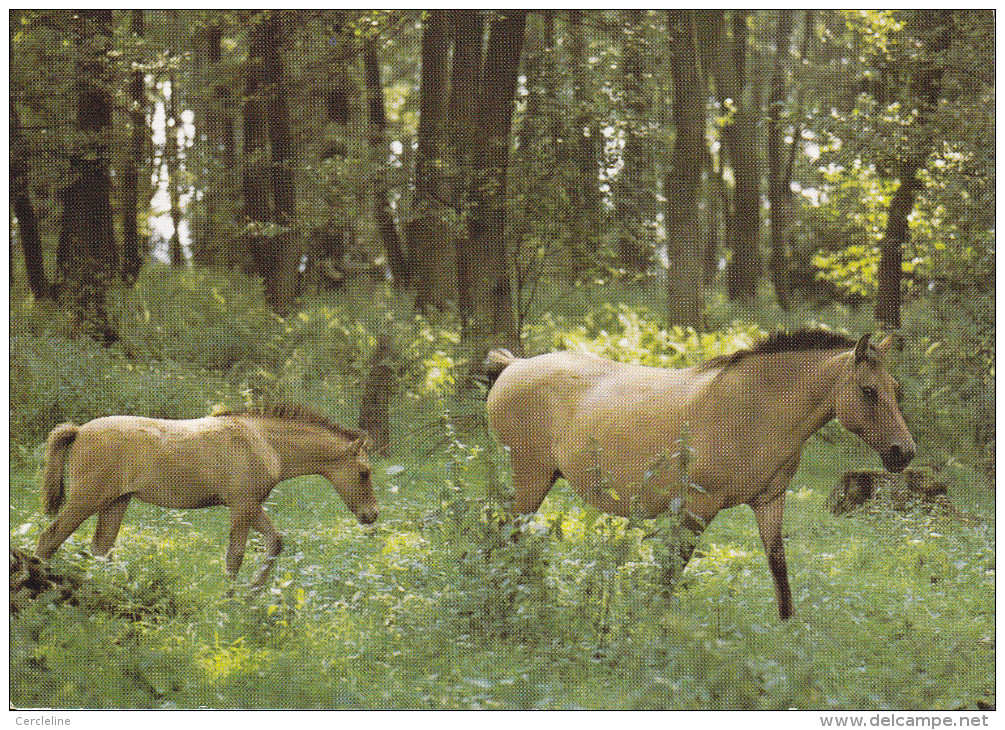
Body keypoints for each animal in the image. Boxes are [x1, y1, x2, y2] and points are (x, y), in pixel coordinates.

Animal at [36, 406, 377, 587]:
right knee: (50, 537)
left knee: (100, 548)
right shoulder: (242, 505)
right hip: (87, 498)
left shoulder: (251, 505)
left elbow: (275, 542)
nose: (372, 514)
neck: (265, 444)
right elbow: (235, 556)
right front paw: (229, 602)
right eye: (364, 472)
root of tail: (78, 431)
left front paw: (254, 592)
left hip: (116, 501)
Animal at [486, 333, 920, 619]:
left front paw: (788, 629)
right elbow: (671, 569)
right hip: (531, 479)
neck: (756, 408)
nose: (904, 452)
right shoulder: (697, 507)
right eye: (868, 391)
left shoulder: (769, 502)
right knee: (507, 534)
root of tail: (514, 366)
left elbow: (778, 567)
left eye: (896, 389)